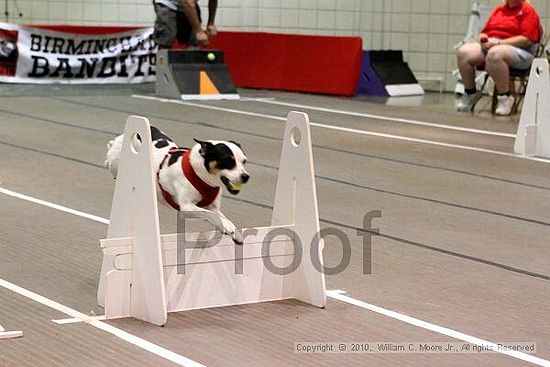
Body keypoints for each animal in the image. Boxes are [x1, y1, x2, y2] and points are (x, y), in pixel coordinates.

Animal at [105, 126, 250, 244]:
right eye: (228, 161)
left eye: (244, 161)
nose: (246, 176)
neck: (202, 175)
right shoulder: (186, 207)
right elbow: (211, 215)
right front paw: (227, 227)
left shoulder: (212, 206)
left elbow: (219, 216)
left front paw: (233, 229)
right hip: (117, 162)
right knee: (110, 158)